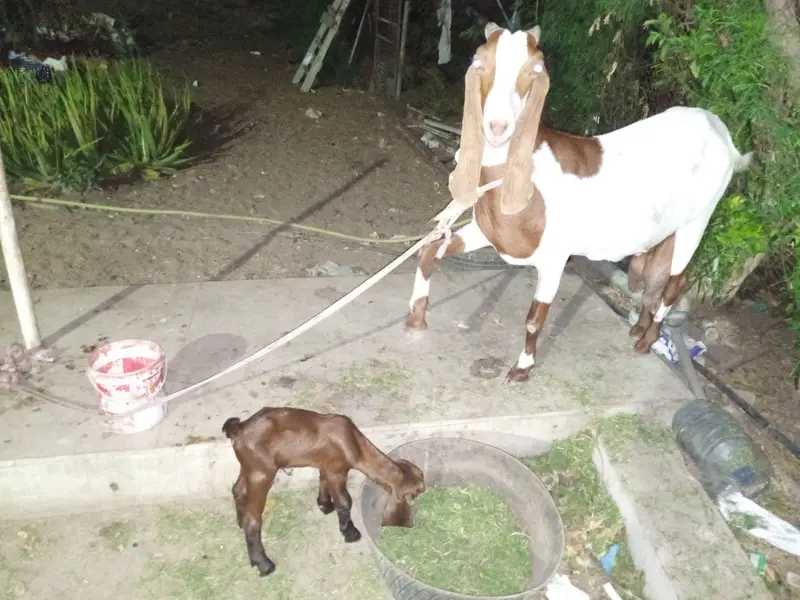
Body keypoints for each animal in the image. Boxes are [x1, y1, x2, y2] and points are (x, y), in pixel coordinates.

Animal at [221, 407, 425, 577]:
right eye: (415, 493)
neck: (354, 443)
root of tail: (238, 428)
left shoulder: (326, 466)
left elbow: (323, 482)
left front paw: (325, 505)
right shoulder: (337, 470)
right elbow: (344, 501)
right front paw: (350, 532)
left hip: (248, 467)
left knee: (238, 490)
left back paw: (240, 521)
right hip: (261, 473)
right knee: (253, 517)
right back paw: (263, 563)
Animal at [406, 23, 752, 382]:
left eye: (535, 69)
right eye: (479, 61)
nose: (498, 126)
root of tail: (720, 131)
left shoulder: (555, 257)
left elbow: (535, 317)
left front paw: (523, 367)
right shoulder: (488, 231)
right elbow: (428, 249)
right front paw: (416, 316)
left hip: (699, 218)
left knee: (676, 281)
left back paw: (647, 341)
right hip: (665, 225)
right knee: (656, 274)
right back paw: (640, 329)